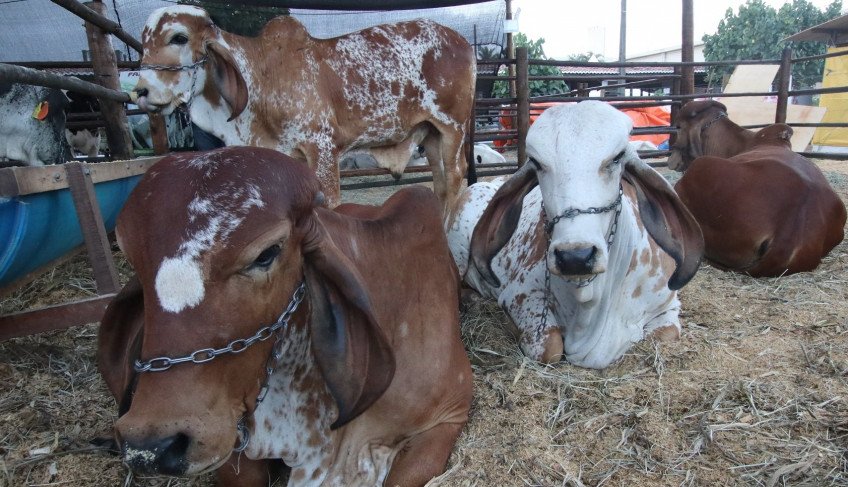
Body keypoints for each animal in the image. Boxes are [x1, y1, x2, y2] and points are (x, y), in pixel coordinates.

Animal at [133, 3, 476, 214]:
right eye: (143, 44)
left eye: (178, 37)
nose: (140, 91)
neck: (262, 77)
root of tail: (461, 41)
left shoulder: (322, 148)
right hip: (431, 133)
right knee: (440, 181)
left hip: (453, 127)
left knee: (456, 176)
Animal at [444, 104, 704, 370]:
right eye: (536, 163)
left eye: (617, 157)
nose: (575, 257)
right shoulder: (518, 295)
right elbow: (550, 348)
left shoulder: (668, 306)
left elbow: (664, 335)